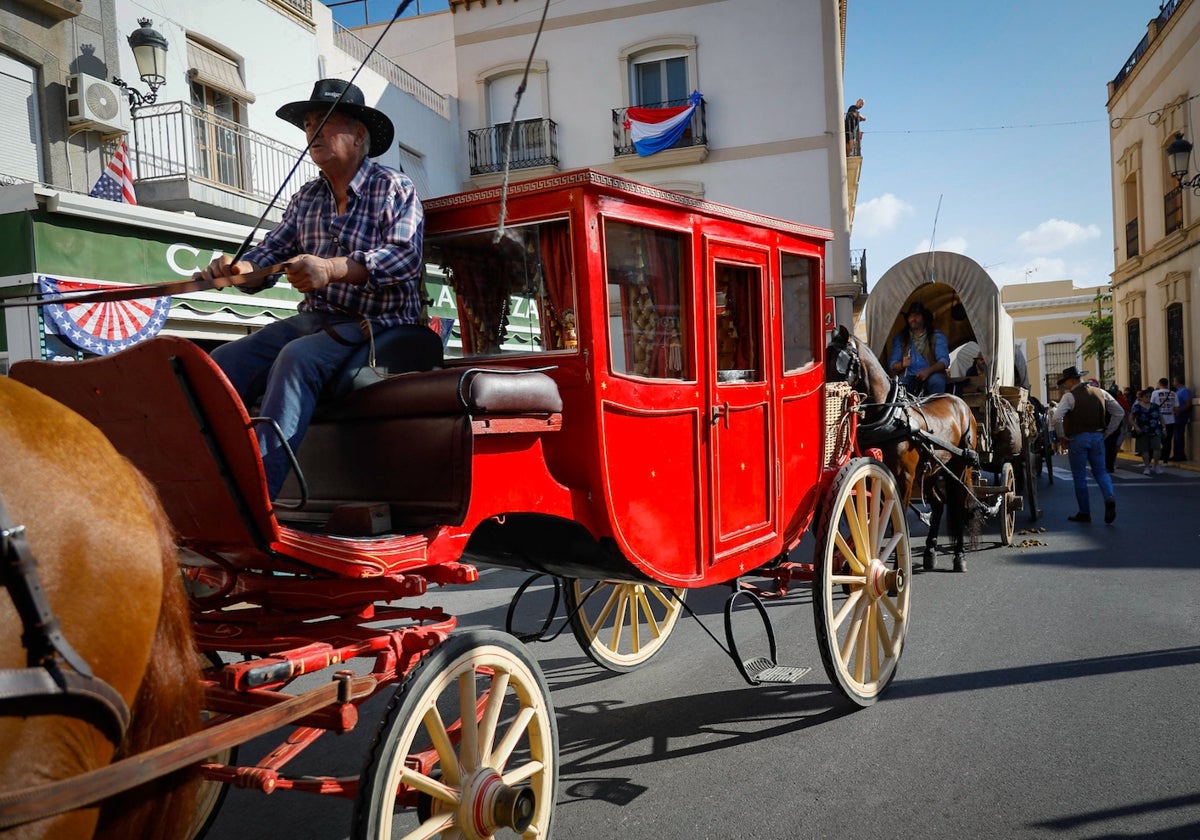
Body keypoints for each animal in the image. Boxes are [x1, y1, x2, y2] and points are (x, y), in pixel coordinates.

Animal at [830, 324, 979, 573]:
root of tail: (961, 403)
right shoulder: (874, 475)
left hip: (959, 467)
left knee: (958, 505)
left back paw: (959, 556)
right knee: (938, 505)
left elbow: (895, 521)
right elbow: (875, 518)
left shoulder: (903, 478)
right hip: (931, 470)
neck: (889, 414)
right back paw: (929, 552)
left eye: (840, 360)